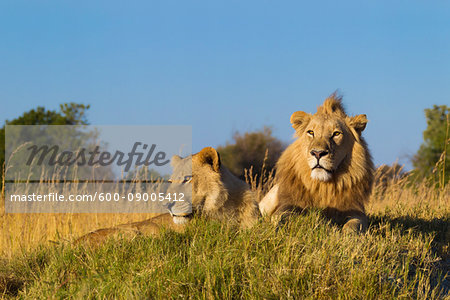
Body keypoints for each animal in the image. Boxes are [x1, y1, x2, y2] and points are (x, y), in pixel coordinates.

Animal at [258, 93, 374, 232]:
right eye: (311, 132)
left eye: (336, 133)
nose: (318, 153)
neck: (323, 186)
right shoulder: (287, 204)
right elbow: (282, 216)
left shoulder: (356, 211)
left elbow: (354, 224)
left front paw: (347, 235)